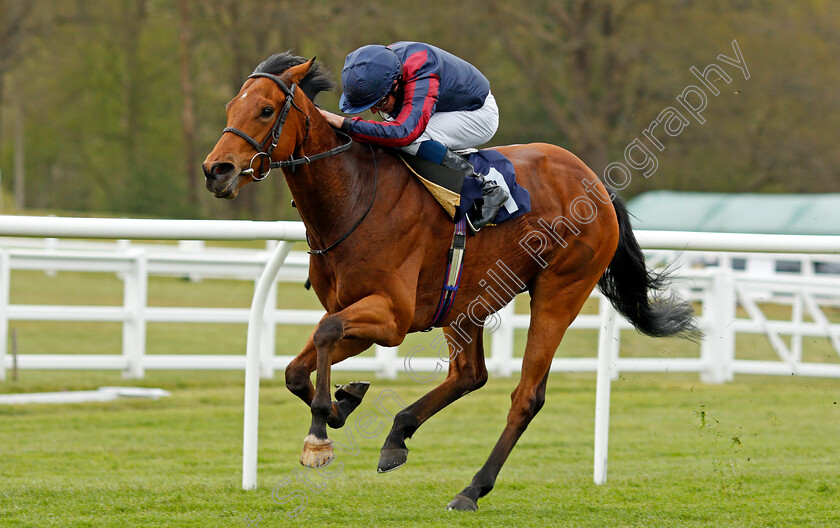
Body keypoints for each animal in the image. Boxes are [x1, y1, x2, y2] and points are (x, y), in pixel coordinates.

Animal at [202, 53, 696, 512]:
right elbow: (295, 369)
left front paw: (320, 433)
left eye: (266, 110)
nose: (216, 170)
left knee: (526, 396)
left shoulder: (392, 317)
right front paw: (345, 400)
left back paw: (472, 489)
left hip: (560, 292)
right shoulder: (357, 312)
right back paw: (397, 436)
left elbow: (324, 334)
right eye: (229, 106)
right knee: (469, 374)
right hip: (468, 301)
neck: (353, 197)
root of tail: (596, 183)